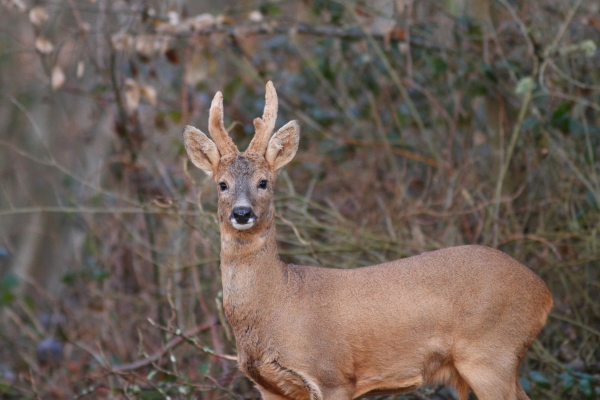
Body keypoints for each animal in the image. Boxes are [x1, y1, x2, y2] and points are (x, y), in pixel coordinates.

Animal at [183, 82, 552, 400]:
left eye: (263, 182)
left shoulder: (332, 376)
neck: (277, 303)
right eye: (222, 184)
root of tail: (543, 292)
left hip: (491, 352)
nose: (242, 213)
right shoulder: (271, 388)